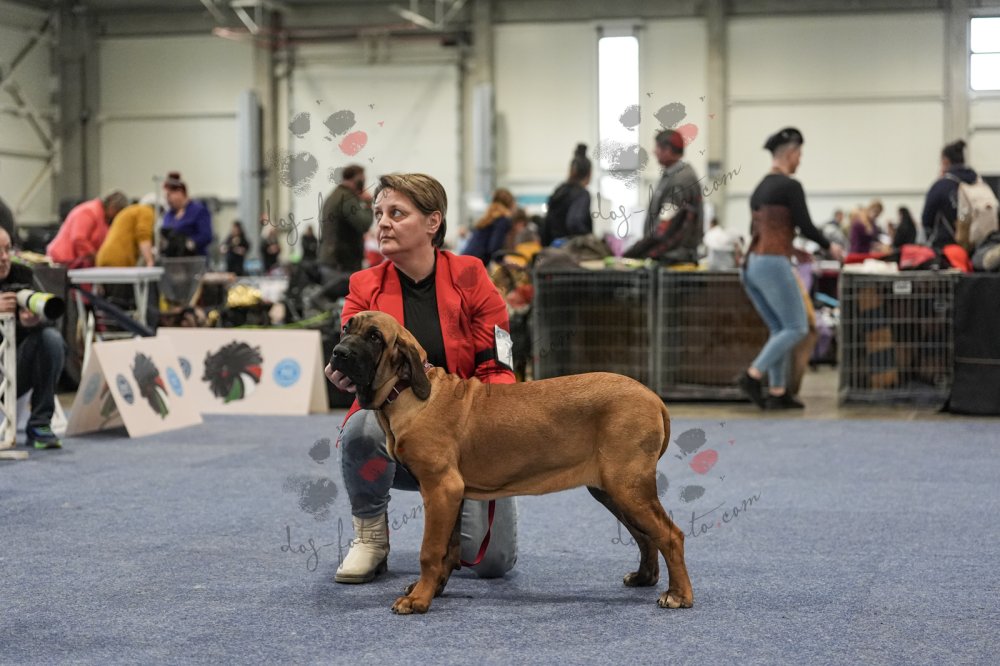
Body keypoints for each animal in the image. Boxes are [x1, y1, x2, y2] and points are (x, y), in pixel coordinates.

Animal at [331, 311, 693, 614]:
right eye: (347, 327)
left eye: (375, 337)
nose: (338, 353)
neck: (406, 389)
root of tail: (654, 398)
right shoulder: (451, 495)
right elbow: (448, 549)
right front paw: (434, 590)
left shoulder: (440, 488)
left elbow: (430, 551)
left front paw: (418, 600)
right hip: (612, 490)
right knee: (645, 535)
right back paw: (645, 578)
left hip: (627, 487)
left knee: (670, 534)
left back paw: (678, 595)